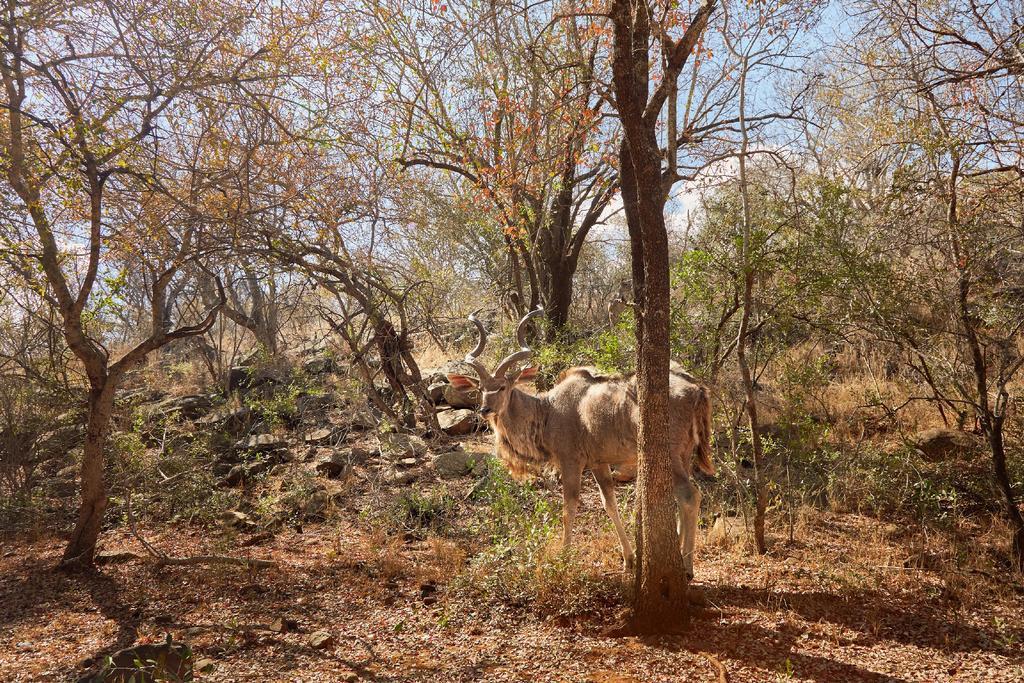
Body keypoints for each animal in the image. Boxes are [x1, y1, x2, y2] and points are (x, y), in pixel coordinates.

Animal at [448, 309, 712, 577]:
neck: (548, 411)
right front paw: (629, 559)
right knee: (682, 498)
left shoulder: (571, 462)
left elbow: (569, 507)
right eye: (481, 388)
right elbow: (609, 504)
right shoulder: (598, 463)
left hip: (671, 456)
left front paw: (564, 558)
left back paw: (687, 567)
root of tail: (697, 389)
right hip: (684, 456)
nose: (485, 409)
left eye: (503, 386)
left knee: (690, 496)